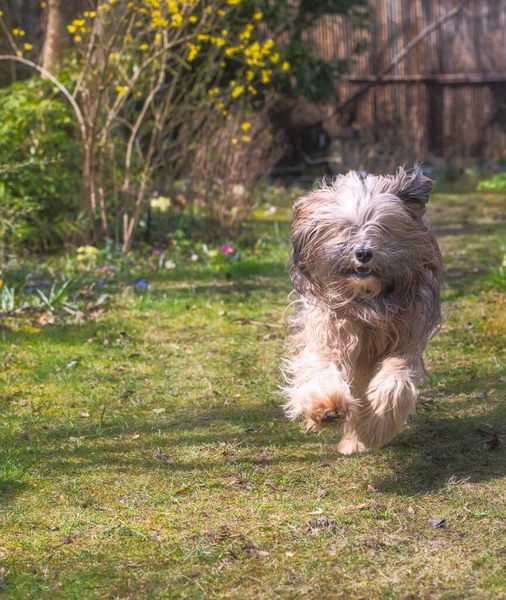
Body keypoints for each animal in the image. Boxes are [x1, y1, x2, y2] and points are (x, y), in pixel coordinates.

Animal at [282, 164, 440, 454]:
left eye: (384, 227)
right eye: (345, 228)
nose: (364, 253)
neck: (368, 299)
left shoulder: (407, 337)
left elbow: (395, 380)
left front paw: (376, 426)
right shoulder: (330, 329)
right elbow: (323, 365)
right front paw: (327, 407)